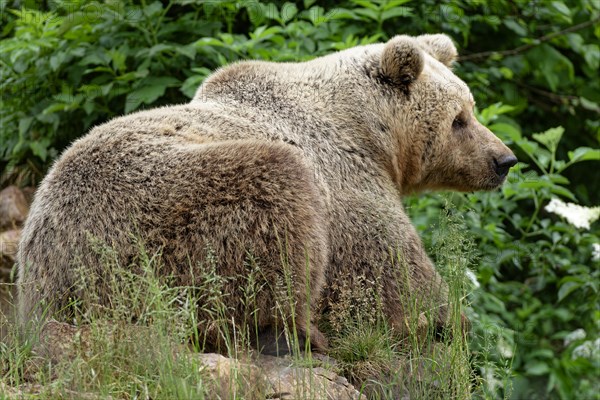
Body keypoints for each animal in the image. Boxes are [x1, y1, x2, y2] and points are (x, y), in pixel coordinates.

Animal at [18, 33, 516, 354]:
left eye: (470, 108)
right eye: (459, 119)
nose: (504, 160)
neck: (373, 134)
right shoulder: (342, 175)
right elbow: (387, 264)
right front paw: (442, 319)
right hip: (154, 216)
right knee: (274, 199)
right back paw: (299, 334)